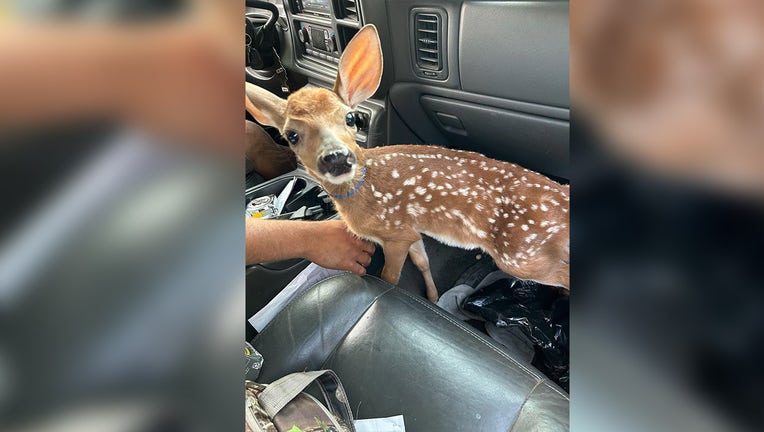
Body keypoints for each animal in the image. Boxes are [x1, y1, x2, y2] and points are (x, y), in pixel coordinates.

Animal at [245, 23, 568, 300]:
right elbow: (422, 261)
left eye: (349, 117)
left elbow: (390, 277)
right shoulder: (410, 229)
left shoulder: (394, 233)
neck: (364, 192)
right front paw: (433, 296)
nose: (336, 158)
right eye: (291, 135)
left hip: (521, 255)